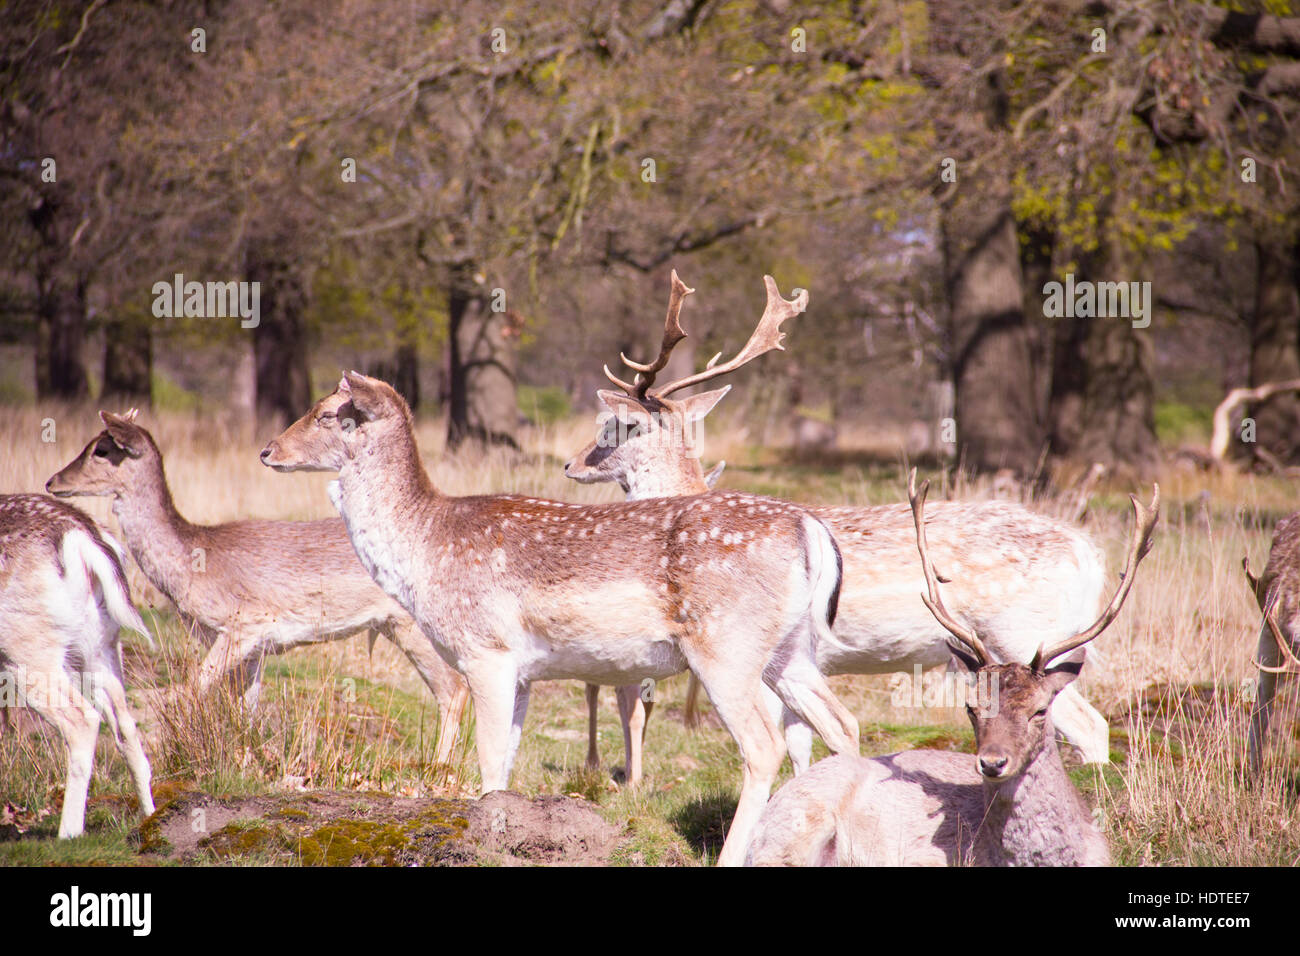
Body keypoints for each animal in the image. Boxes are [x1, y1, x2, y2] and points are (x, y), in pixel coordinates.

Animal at [0, 494, 156, 838]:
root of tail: (84, 537)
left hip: (26, 651)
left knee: (83, 719)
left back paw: (68, 833)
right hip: (98, 647)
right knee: (126, 726)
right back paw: (151, 817)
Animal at [45, 411, 470, 766]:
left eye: (101, 449)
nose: (52, 481)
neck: (192, 562)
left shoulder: (244, 622)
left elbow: (193, 687)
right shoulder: (254, 650)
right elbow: (246, 710)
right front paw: (246, 757)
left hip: (411, 624)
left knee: (453, 689)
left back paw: (439, 769)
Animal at [259, 370, 862, 866]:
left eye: (329, 413)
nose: (268, 450)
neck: (425, 548)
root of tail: (809, 528)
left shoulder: (486, 650)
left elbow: (488, 761)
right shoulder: (522, 672)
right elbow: (504, 764)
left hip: (725, 647)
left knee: (765, 745)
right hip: (791, 651)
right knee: (843, 724)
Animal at [565, 272, 1114, 776]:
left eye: (613, 426)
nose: (571, 464)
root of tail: (1089, 555)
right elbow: (802, 743)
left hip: (1023, 634)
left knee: (1089, 724)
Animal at [744, 474, 1157, 866]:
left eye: (1039, 710)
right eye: (970, 709)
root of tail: (1090, 555)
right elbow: (799, 741)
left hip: (1024, 633)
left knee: (1090, 723)